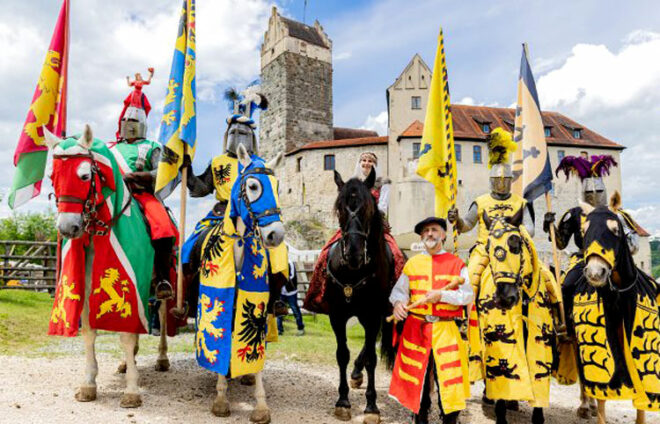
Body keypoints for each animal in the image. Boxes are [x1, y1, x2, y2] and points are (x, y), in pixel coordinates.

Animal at [328, 170, 394, 424]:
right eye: (340, 209)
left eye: (367, 209)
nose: (354, 254)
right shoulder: (337, 316)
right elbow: (342, 354)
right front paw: (342, 401)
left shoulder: (373, 315)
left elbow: (372, 359)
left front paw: (372, 407)